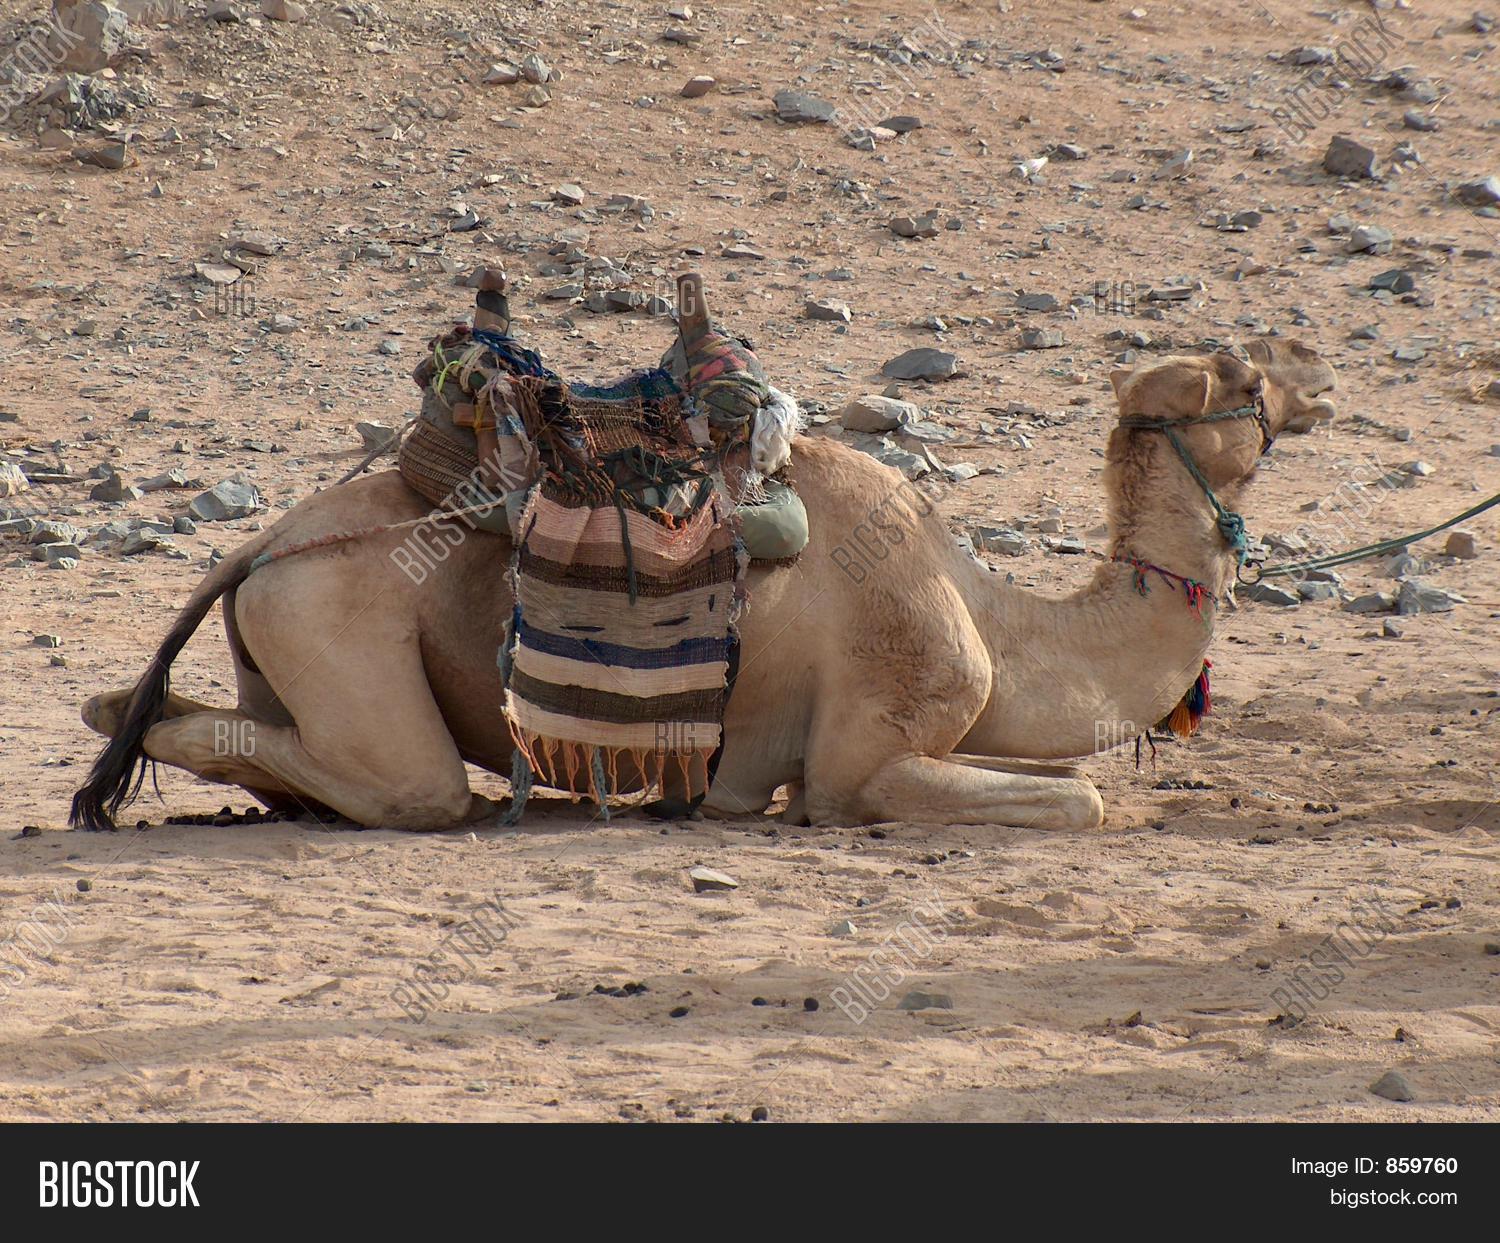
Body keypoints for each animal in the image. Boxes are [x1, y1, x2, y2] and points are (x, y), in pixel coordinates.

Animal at [72, 339, 1336, 833]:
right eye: (1239, 373)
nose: (1316, 375)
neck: (991, 613)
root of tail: (260, 549)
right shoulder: (865, 752)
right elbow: (1079, 796)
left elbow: (1070, 778)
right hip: (336, 629)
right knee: (413, 788)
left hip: (278, 635)